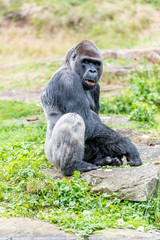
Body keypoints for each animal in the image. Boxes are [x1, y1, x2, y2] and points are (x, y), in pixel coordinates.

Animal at [41, 40, 141, 176]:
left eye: (96, 64)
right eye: (86, 61)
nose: (93, 71)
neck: (68, 65)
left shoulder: (96, 87)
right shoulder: (67, 80)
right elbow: (87, 121)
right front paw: (127, 145)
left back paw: (100, 160)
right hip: (52, 157)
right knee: (74, 119)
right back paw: (73, 167)